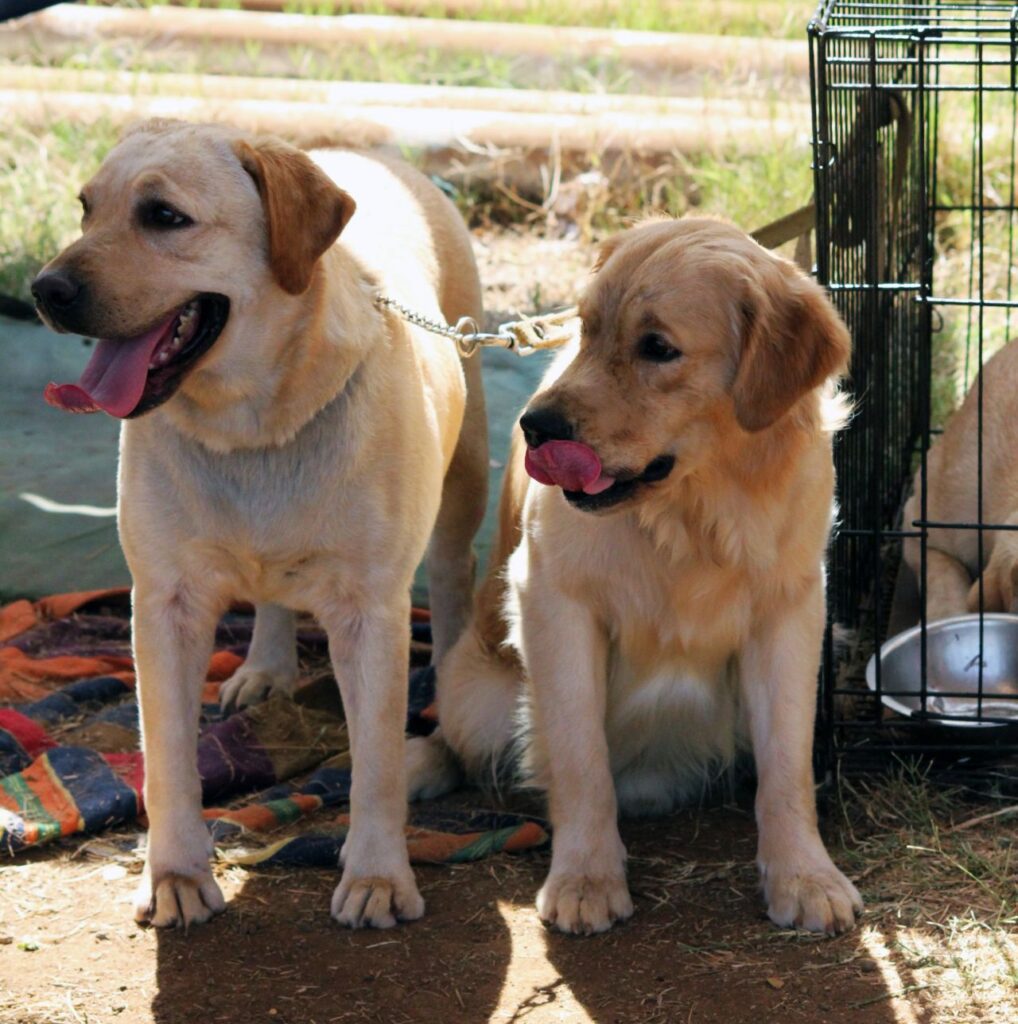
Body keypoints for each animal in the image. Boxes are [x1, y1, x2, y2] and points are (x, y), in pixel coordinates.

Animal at [33, 117, 485, 929]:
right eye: (86, 208)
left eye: (164, 216)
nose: (43, 290)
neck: (252, 428)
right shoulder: (163, 603)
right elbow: (168, 758)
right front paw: (176, 874)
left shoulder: (371, 611)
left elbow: (376, 763)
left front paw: (377, 875)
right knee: (273, 596)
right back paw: (267, 667)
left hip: (463, 475)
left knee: (453, 576)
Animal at [409, 218, 860, 937]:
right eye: (587, 328)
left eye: (658, 348)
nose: (534, 428)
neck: (693, 512)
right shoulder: (554, 602)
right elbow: (580, 756)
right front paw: (587, 877)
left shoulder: (791, 612)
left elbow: (788, 765)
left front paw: (804, 875)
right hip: (475, 695)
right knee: (456, 739)